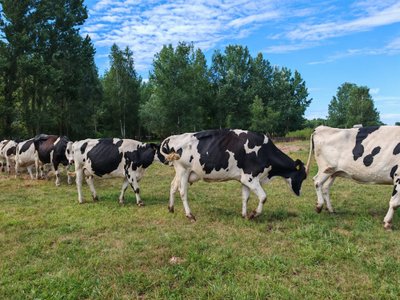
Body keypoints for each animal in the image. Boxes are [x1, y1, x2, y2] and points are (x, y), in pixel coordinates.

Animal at [159, 127, 306, 221]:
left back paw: (171, 208)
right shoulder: (250, 177)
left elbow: (245, 197)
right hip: (183, 170)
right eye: (302, 176)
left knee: (173, 186)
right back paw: (190, 215)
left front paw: (244, 215)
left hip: (181, 172)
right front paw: (253, 214)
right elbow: (263, 197)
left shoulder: (245, 179)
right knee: (182, 191)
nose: (300, 192)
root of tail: (173, 137)